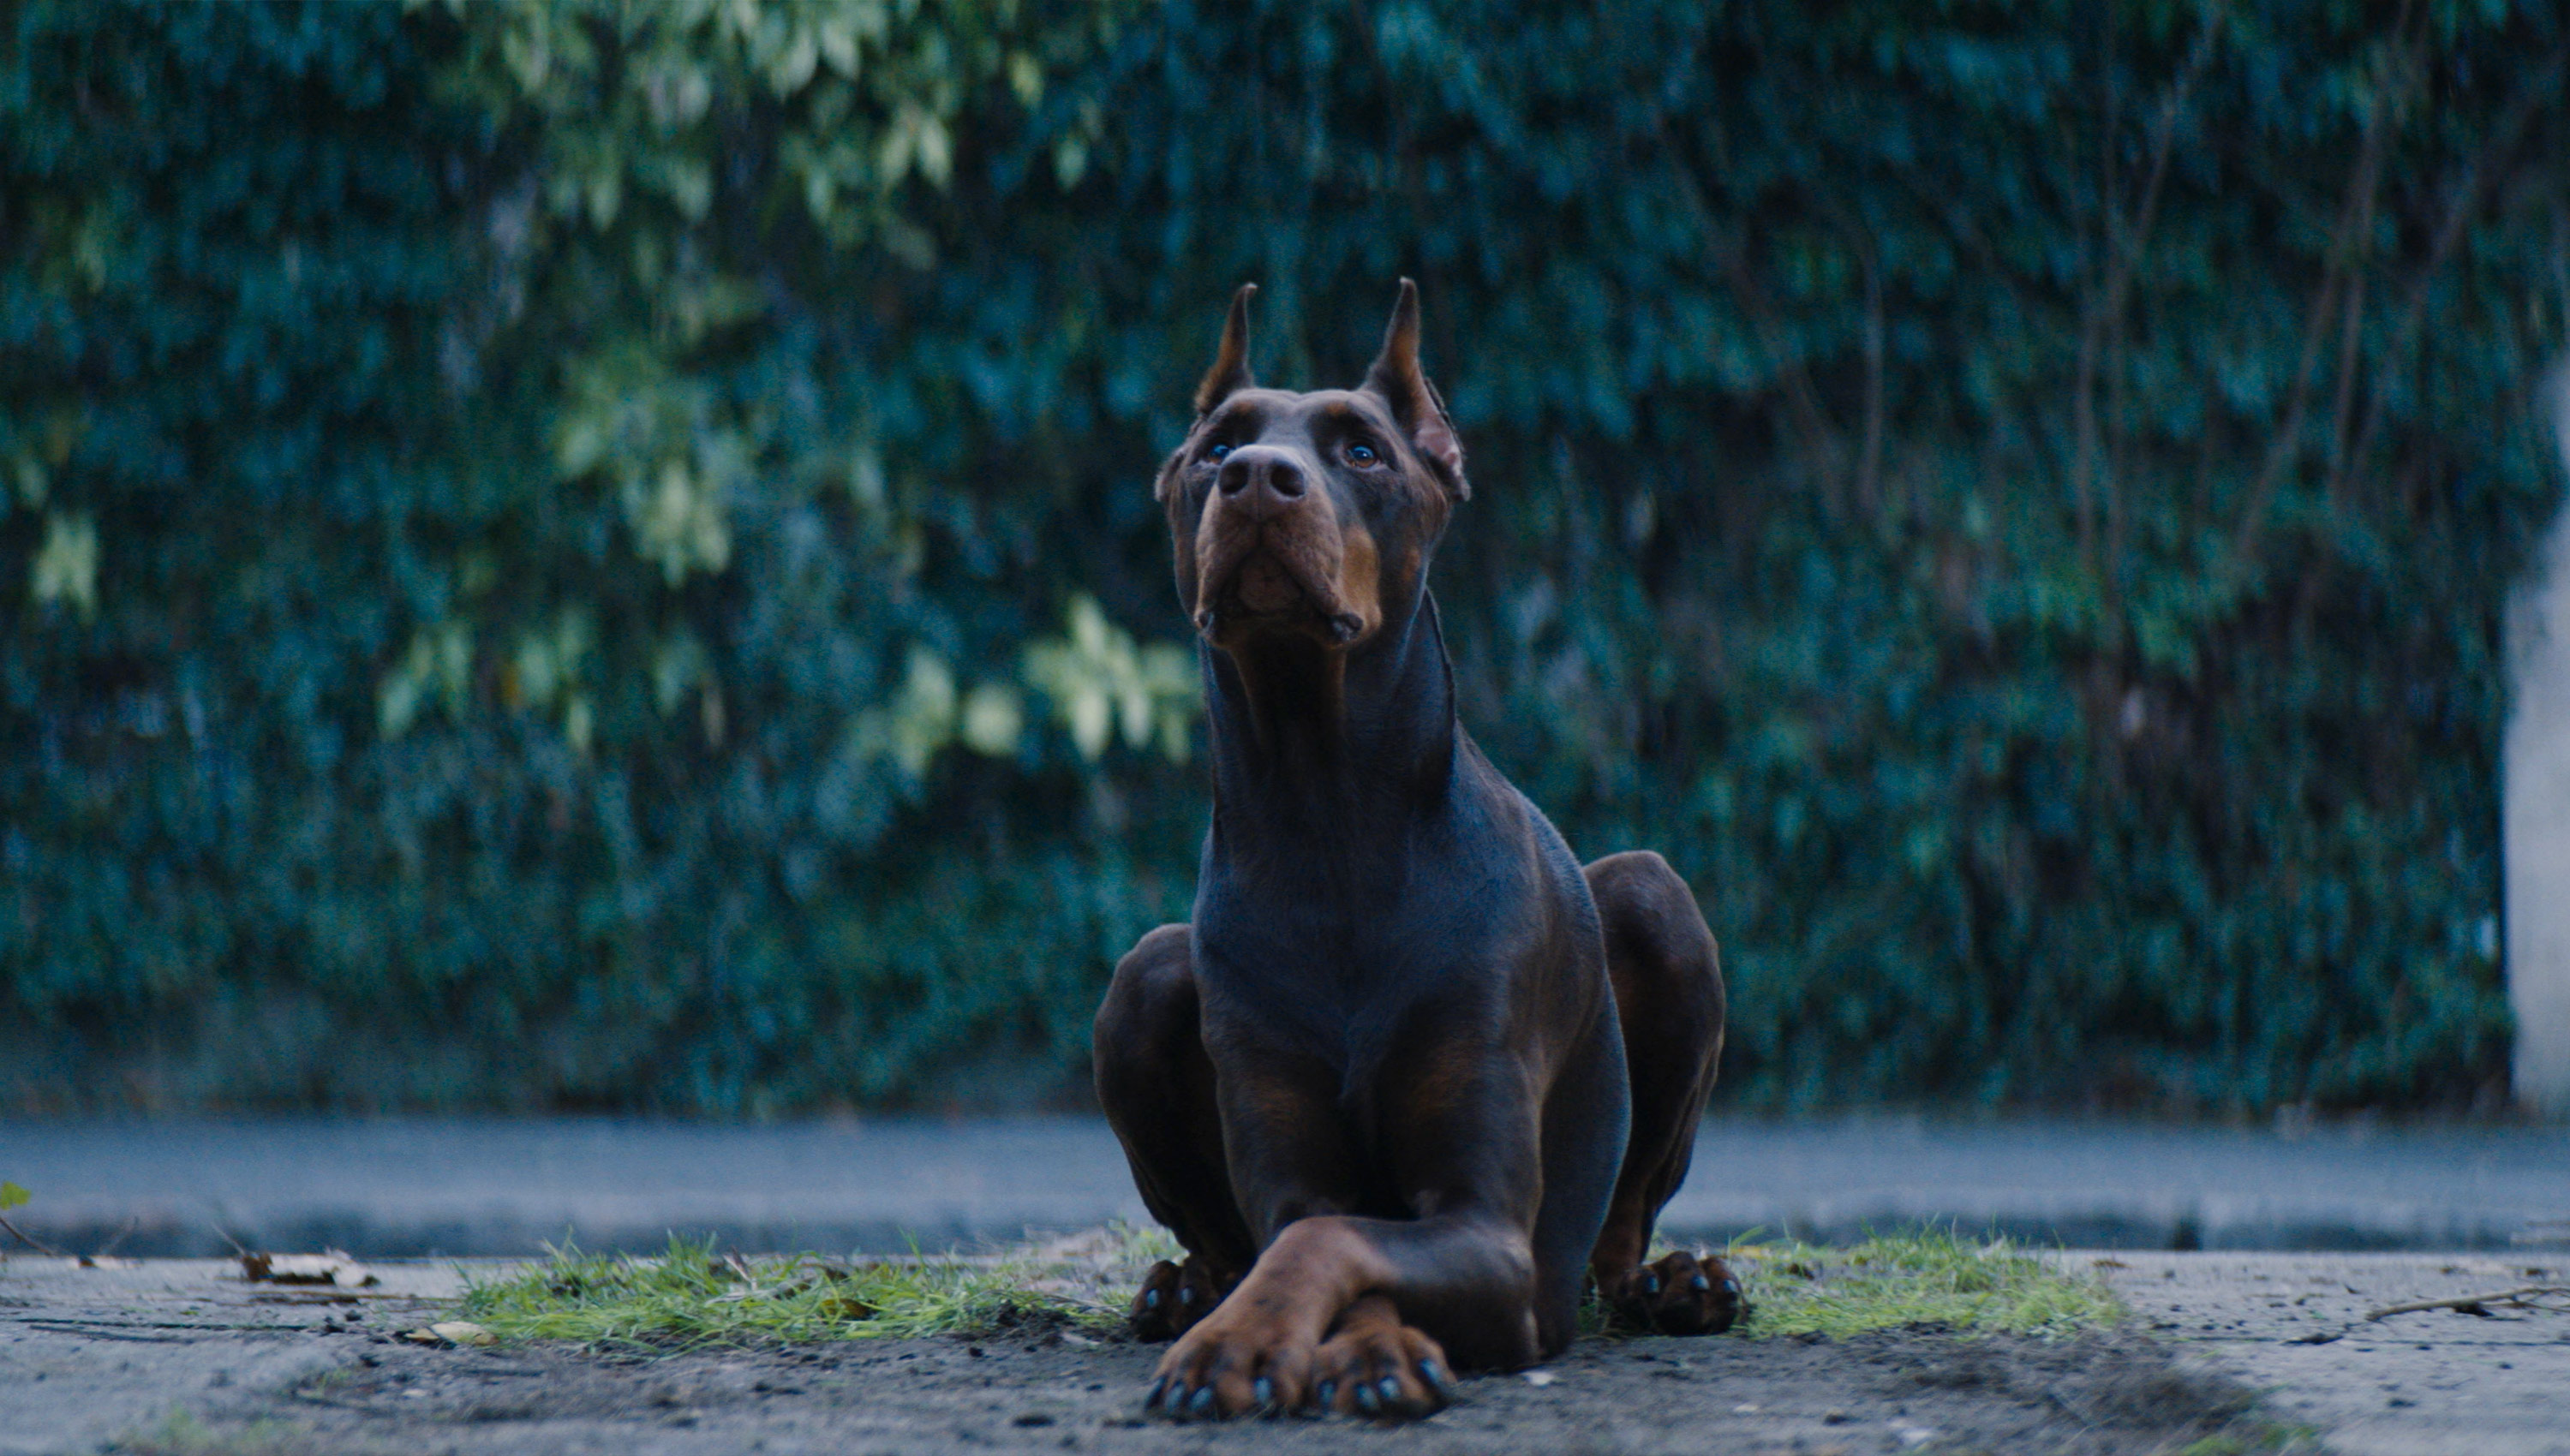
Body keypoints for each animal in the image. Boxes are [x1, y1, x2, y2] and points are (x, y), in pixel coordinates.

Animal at [1095, 278, 1737, 1417]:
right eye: (1217, 448)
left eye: (1364, 451)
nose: (1259, 479)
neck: (1329, 818)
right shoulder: (1294, 1177)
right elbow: (1306, 1230)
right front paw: (1307, 1341)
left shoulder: (1496, 1234)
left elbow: (1337, 1241)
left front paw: (1275, 1348)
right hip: (1145, 974)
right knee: (1221, 1238)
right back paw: (1184, 1293)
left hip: (1652, 895)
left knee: (1620, 1233)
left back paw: (1681, 1281)